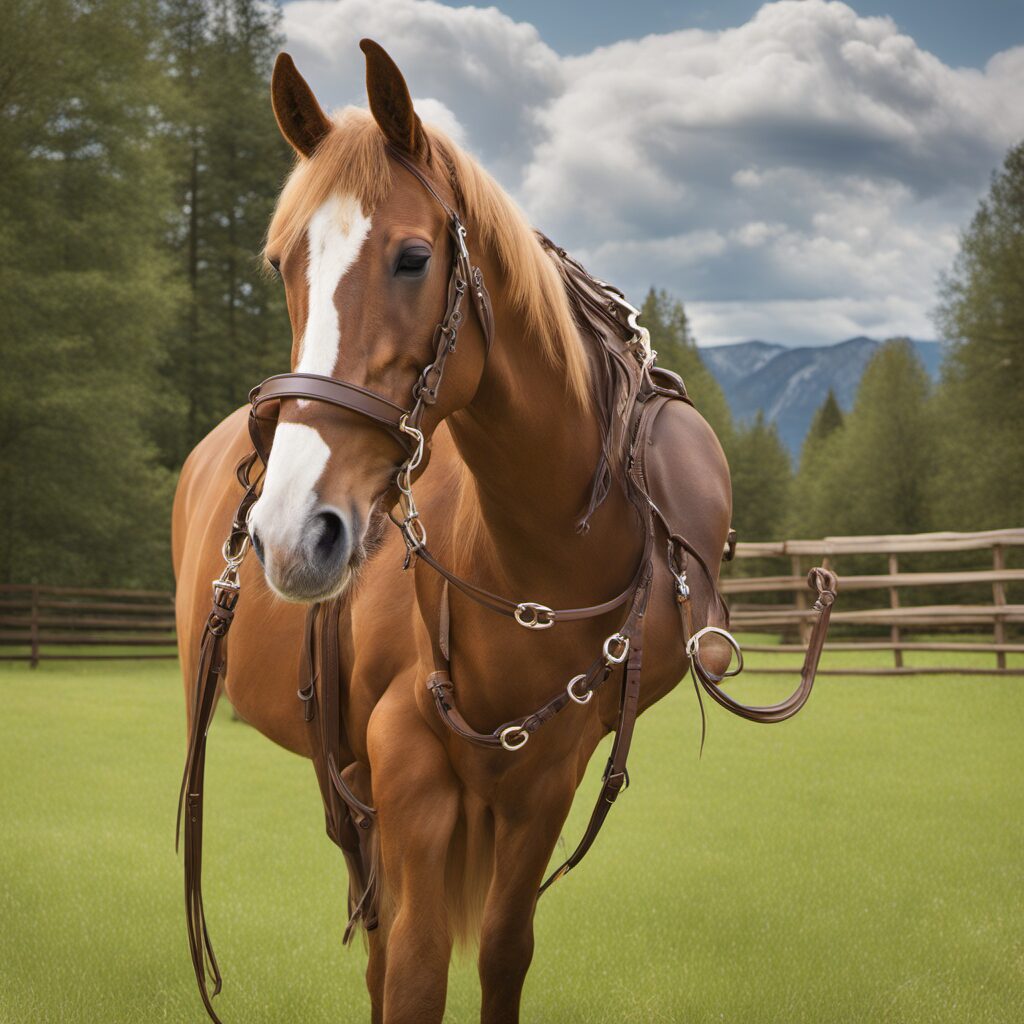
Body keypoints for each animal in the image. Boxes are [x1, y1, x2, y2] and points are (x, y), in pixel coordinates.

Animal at [173, 40, 835, 1024]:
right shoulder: (405, 759)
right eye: (283, 263)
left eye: (413, 258)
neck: (533, 561)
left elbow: (500, 952)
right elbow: (413, 972)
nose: (292, 530)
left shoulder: (547, 778)